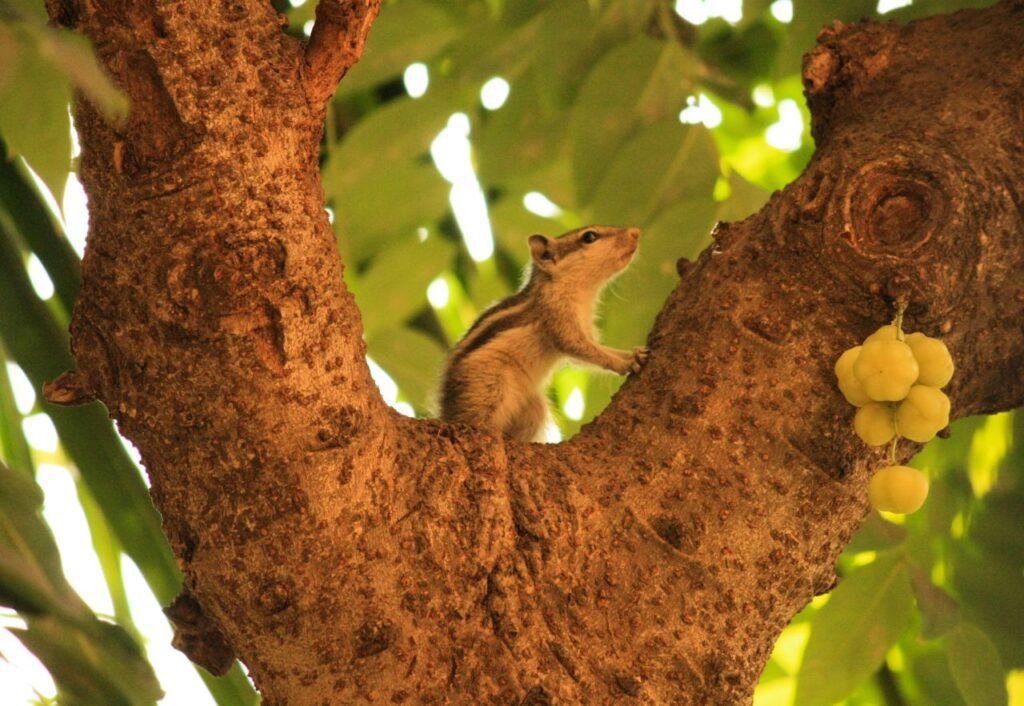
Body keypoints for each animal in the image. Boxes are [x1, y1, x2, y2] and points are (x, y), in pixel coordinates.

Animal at [438, 224, 647, 440]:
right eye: (589, 237)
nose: (635, 231)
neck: (582, 292)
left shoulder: (585, 328)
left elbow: (596, 351)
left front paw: (634, 353)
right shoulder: (558, 319)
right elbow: (580, 349)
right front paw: (626, 363)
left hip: (533, 408)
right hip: (488, 385)